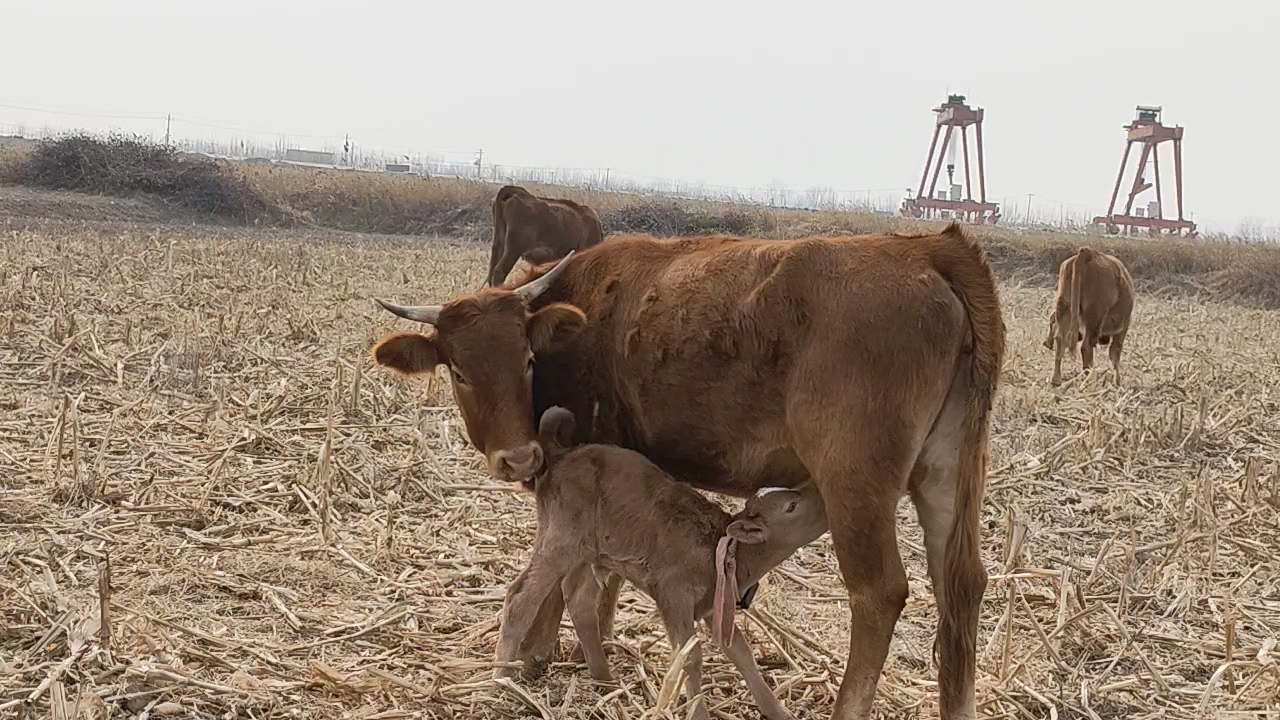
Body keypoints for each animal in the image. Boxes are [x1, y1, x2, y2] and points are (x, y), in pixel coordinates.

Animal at [494, 404, 824, 717]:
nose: (820, 495)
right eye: (791, 507)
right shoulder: (673, 594)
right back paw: (500, 679)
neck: (723, 548)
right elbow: (690, 657)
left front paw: (777, 711)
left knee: (579, 598)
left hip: (590, 550)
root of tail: (562, 454)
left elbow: (740, 651)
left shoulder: (711, 604)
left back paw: (604, 679)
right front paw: (698, 713)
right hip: (561, 538)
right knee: (522, 597)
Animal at [1044, 245, 1136, 384]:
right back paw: (1089, 379)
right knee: (1086, 347)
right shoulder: (1122, 328)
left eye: (1051, 324)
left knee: (1060, 340)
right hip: (1095, 319)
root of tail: (1087, 253)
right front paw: (1117, 381)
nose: (1046, 343)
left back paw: (1056, 380)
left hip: (1065, 308)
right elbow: (1115, 354)